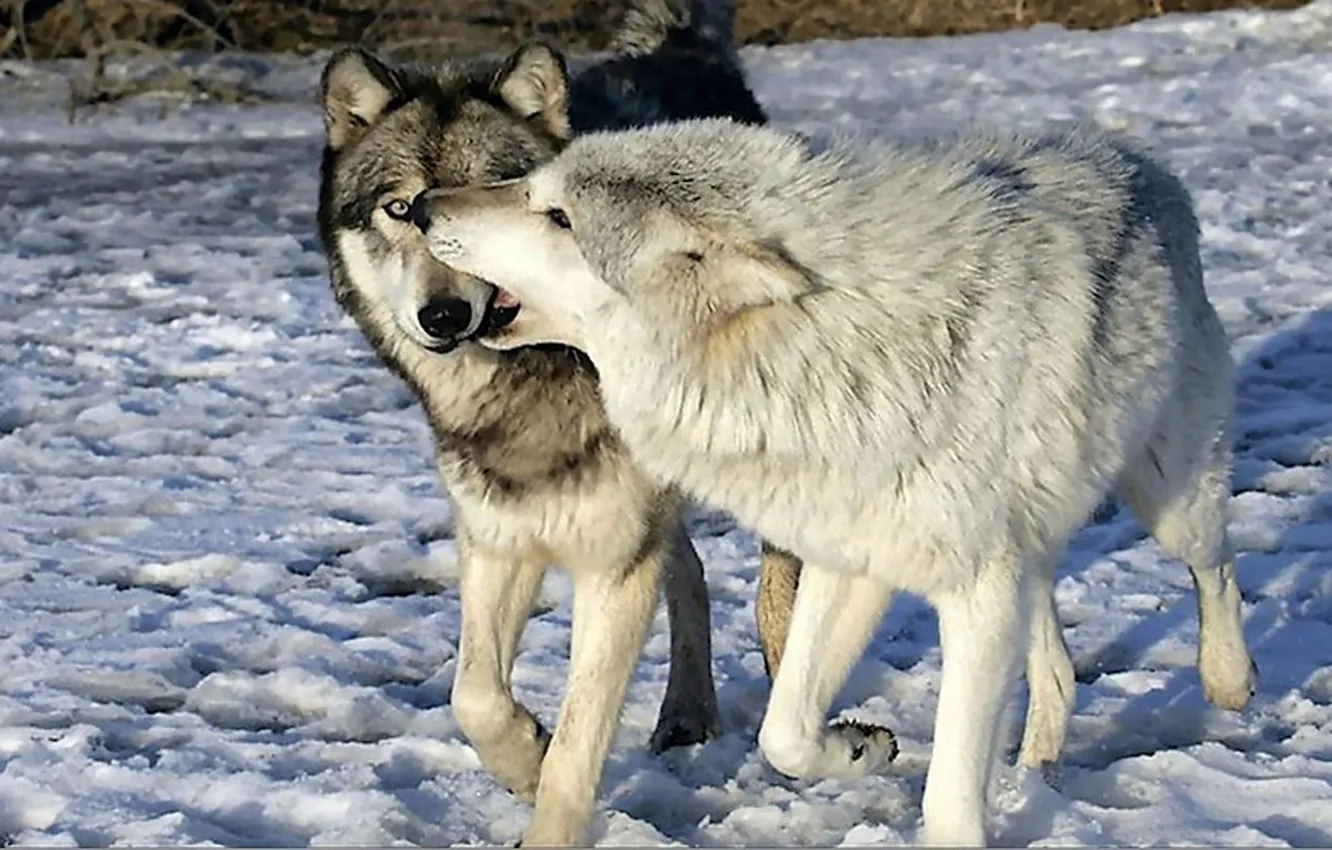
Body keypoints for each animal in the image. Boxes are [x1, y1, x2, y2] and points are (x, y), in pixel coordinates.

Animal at [314, 4, 814, 845]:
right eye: (401, 207)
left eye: (492, 197)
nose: (444, 316)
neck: (533, 378)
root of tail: (681, 47)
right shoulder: (499, 538)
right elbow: (474, 697)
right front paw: (525, 755)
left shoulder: (613, 563)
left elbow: (580, 746)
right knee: (691, 572)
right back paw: (686, 715)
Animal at [418, 117, 1259, 845]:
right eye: (531, 183)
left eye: (558, 216)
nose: (423, 206)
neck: (824, 350)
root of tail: (1132, 154)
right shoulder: (850, 558)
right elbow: (784, 730)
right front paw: (860, 747)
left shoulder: (977, 592)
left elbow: (949, 801)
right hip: (1033, 553)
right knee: (1057, 669)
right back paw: (1035, 775)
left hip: (1168, 494)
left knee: (1215, 568)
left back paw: (1229, 682)